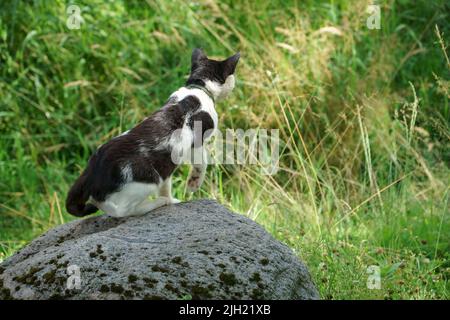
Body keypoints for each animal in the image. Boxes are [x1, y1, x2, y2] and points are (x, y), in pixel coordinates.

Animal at [66, 48, 239, 218]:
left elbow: (166, 185)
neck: (198, 88)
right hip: (147, 180)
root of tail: (91, 171)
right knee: (122, 211)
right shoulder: (196, 143)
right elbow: (201, 164)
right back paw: (158, 203)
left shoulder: (168, 166)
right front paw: (192, 185)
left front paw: (172, 199)